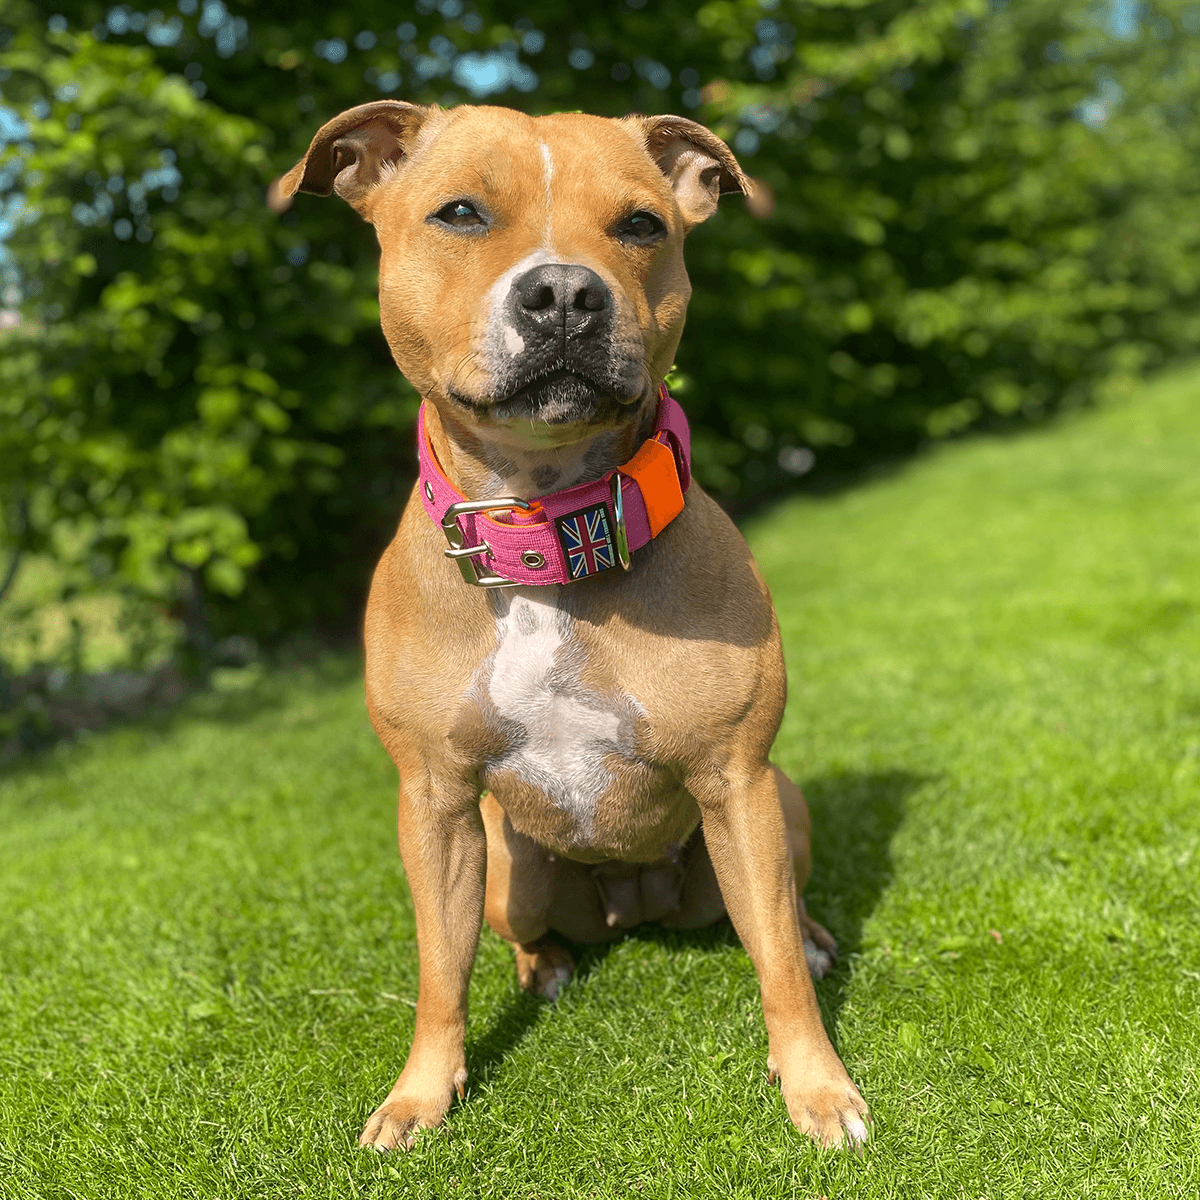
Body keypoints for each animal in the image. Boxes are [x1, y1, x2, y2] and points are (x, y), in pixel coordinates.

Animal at [270, 98, 873, 1147]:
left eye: (641, 225)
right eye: (460, 213)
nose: (562, 294)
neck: (548, 528)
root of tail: (632, 908)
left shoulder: (737, 778)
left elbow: (775, 966)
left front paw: (816, 1085)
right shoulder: (432, 802)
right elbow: (438, 971)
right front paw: (420, 1094)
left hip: (780, 808)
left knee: (777, 920)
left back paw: (810, 936)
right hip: (510, 871)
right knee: (515, 931)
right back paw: (543, 966)